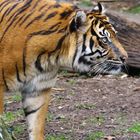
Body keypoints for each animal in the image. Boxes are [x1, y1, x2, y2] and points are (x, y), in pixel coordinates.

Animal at [0, 0, 127, 139]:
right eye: (104, 40)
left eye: (115, 35)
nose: (125, 57)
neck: (51, 56)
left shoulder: (38, 89)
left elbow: (36, 125)